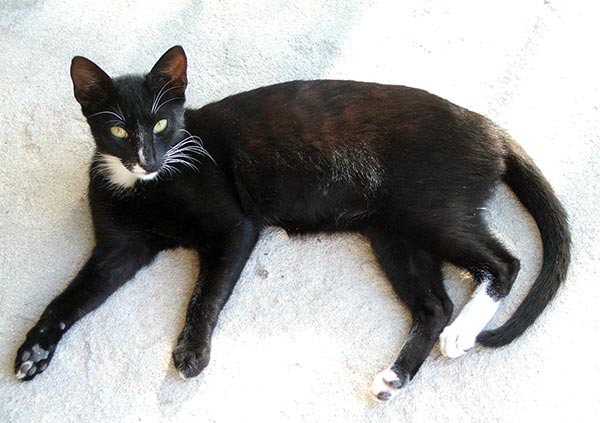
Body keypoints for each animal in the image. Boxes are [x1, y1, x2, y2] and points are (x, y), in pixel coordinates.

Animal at [11, 45, 568, 400]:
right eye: (120, 131)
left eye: (163, 124)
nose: (147, 158)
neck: (145, 188)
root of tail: (488, 126)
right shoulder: (117, 251)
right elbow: (69, 297)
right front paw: (34, 349)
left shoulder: (234, 227)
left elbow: (205, 293)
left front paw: (192, 352)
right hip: (394, 233)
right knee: (435, 303)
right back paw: (394, 377)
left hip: (430, 211)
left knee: (504, 262)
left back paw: (461, 335)